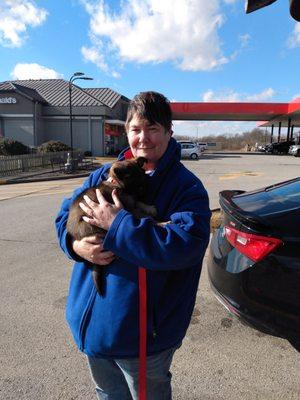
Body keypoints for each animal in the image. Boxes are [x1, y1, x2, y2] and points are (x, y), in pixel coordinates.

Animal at [67, 158, 157, 296]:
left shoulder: (131, 203)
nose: (145, 188)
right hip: (92, 224)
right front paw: (161, 221)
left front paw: (150, 208)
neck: (118, 186)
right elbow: (143, 215)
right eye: (131, 177)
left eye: (142, 173)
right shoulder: (127, 208)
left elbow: (139, 203)